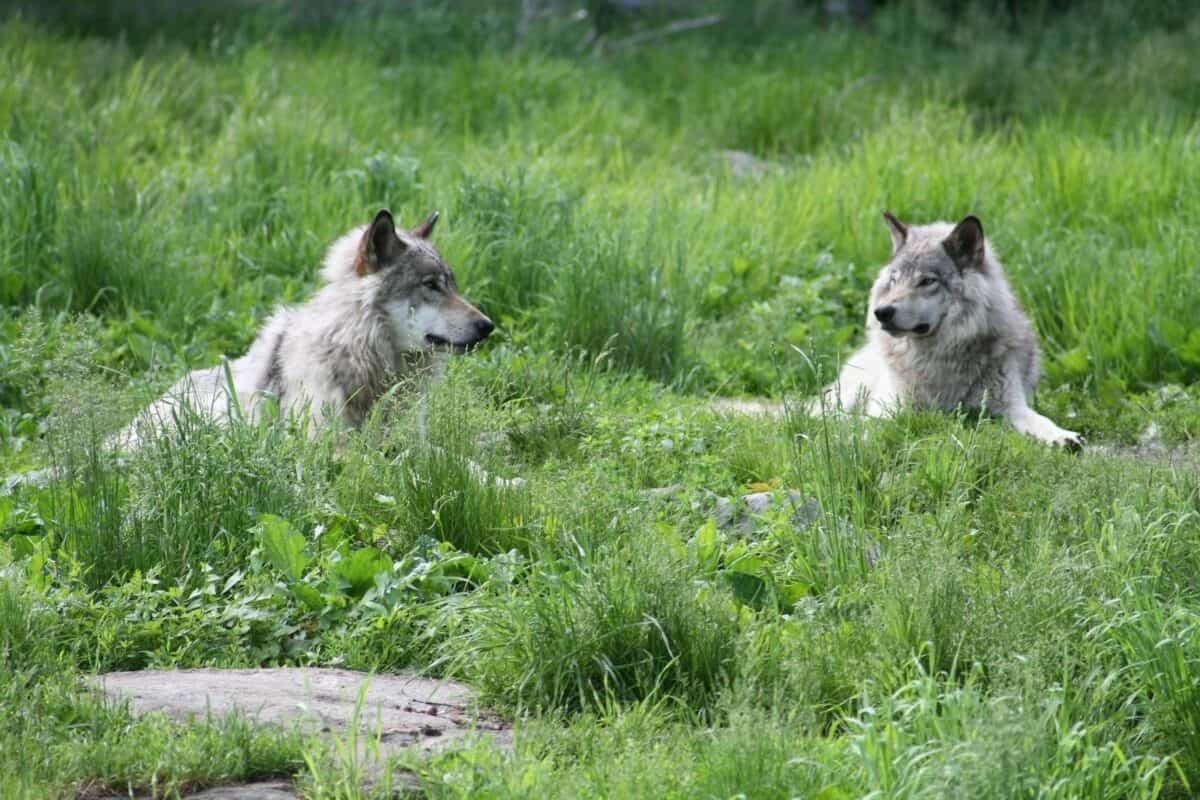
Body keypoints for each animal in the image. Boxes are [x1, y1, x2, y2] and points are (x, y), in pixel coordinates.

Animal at [114, 208, 494, 449]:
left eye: (453, 286)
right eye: (431, 285)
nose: (488, 326)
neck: (357, 355)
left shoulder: (411, 440)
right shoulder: (332, 448)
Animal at [815, 212, 1083, 450]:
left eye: (926, 281)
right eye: (894, 280)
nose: (881, 312)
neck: (941, 355)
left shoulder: (1012, 406)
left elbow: (1041, 420)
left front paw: (1063, 436)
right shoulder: (895, 407)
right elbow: (879, 424)